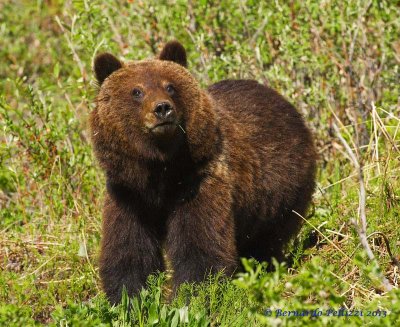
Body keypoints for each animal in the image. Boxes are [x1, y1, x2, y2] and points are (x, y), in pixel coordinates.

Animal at [90, 41, 316, 304]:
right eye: (136, 91)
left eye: (170, 86)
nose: (162, 108)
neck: (160, 171)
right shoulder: (128, 194)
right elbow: (128, 250)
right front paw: (130, 299)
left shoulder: (199, 180)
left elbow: (200, 248)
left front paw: (191, 297)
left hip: (281, 188)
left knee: (268, 238)